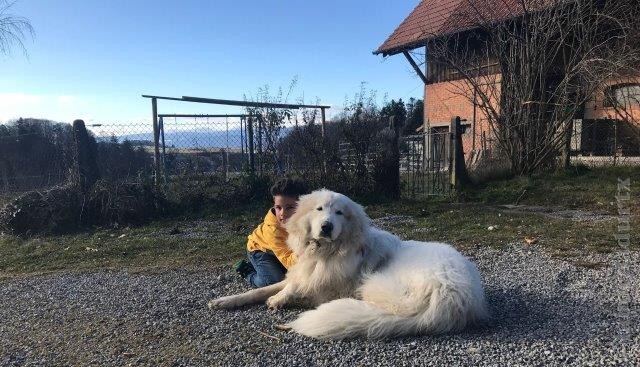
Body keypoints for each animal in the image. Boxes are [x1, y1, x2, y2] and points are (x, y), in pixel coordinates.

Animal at [208, 190, 488, 340]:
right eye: (320, 209)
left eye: (339, 213)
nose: (327, 226)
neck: (326, 253)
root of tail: (454, 297)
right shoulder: (300, 274)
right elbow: (260, 290)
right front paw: (224, 301)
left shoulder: (321, 288)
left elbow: (292, 290)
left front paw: (279, 300)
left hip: (378, 285)